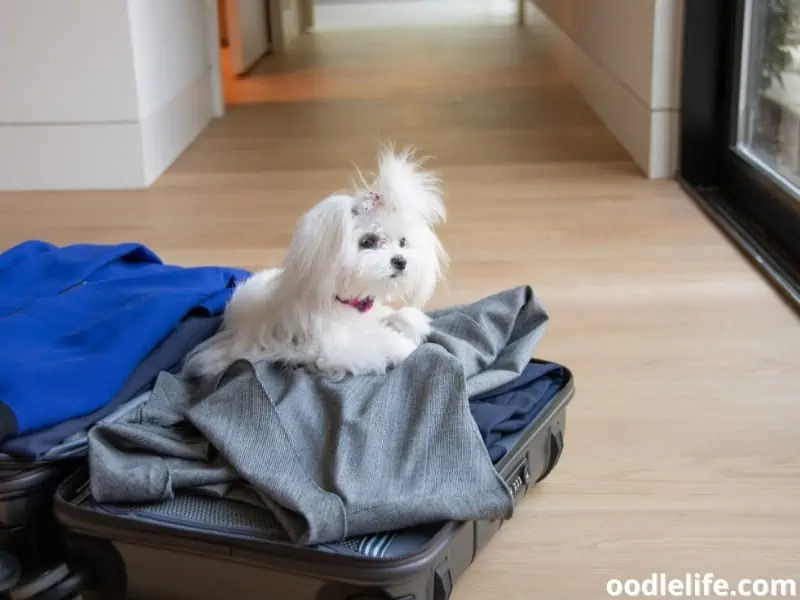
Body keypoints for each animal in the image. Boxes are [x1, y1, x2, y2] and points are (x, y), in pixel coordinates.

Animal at [183, 146, 450, 380]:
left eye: (402, 242)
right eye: (368, 241)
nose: (400, 261)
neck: (345, 302)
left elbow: (397, 317)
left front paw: (409, 322)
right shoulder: (331, 346)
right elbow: (371, 343)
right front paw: (401, 345)